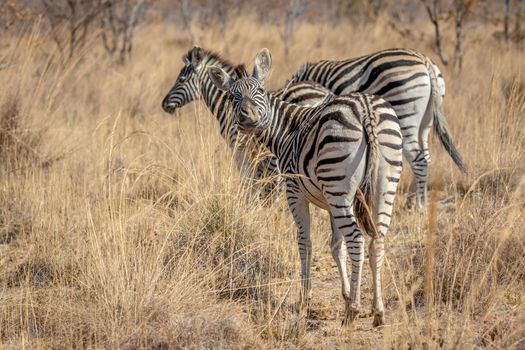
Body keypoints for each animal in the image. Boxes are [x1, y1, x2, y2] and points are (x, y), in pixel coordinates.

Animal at [162, 46, 330, 197]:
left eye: (181, 80)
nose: (164, 104)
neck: (226, 108)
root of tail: (323, 92)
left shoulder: (239, 146)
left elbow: (249, 180)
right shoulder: (256, 152)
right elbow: (259, 182)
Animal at [207, 47, 404, 326]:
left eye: (259, 91)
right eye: (234, 96)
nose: (249, 117)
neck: (288, 129)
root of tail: (366, 109)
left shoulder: (294, 191)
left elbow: (305, 242)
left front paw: (306, 298)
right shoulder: (331, 203)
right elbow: (336, 246)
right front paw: (345, 293)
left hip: (339, 182)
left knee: (357, 240)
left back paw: (353, 312)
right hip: (383, 183)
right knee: (377, 240)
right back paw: (378, 311)